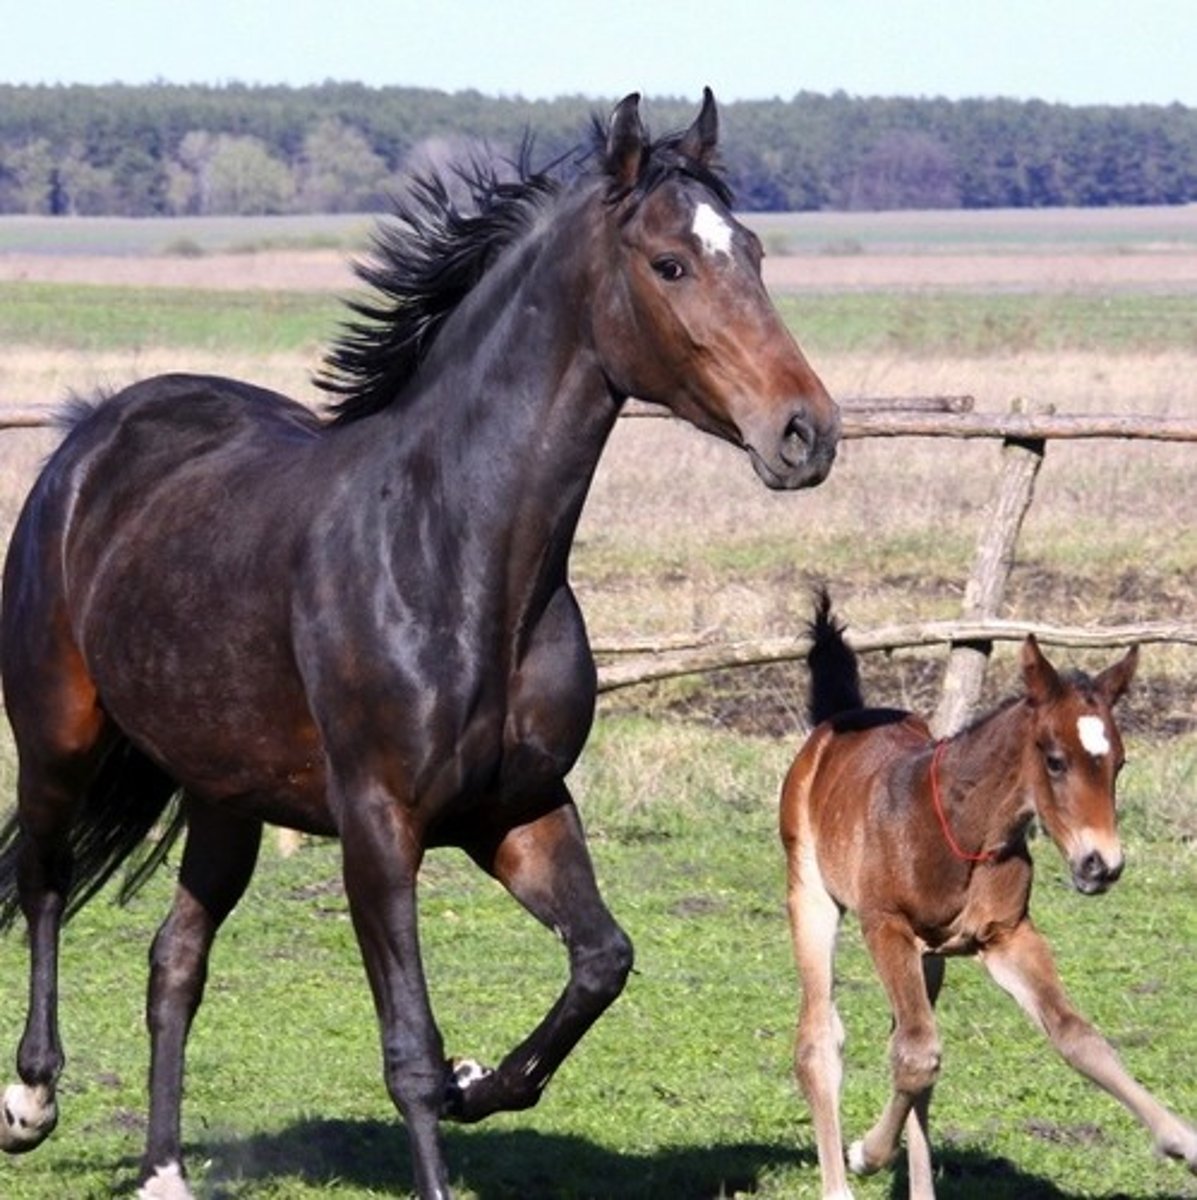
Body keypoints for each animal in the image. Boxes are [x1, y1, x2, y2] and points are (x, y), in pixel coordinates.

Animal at [0, 90, 839, 1200]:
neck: (455, 556)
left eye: (751, 250)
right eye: (670, 264)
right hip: (57, 738)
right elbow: (405, 1045)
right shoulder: (378, 824)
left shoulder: (517, 809)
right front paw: (446, 1099)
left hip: (225, 794)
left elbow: (600, 962)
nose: (805, 433)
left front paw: (479, 1081)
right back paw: (30, 1100)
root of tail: (93, 434)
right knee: (45, 884)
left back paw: (166, 1169)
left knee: (173, 960)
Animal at [779, 591, 1197, 1199]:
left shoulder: (1006, 936)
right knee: (820, 1041)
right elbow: (916, 1055)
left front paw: (1182, 1140)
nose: (1101, 866)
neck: (958, 829)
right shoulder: (885, 925)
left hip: (930, 956)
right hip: (811, 897)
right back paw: (840, 1181)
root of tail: (838, 722)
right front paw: (865, 1153)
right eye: (1055, 760)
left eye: (1119, 763)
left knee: (906, 1044)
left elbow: (1075, 1036)